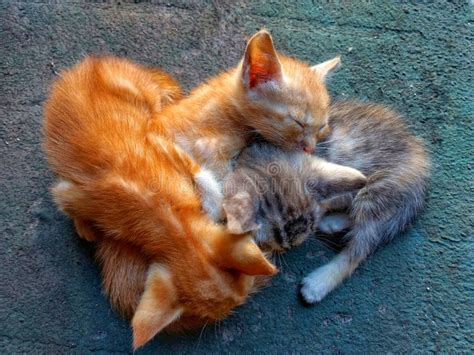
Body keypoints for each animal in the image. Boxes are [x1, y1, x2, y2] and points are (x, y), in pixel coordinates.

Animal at [223, 101, 430, 304]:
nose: (290, 248)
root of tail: (422, 170)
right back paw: (332, 222)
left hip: (377, 193)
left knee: (361, 245)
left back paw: (319, 283)